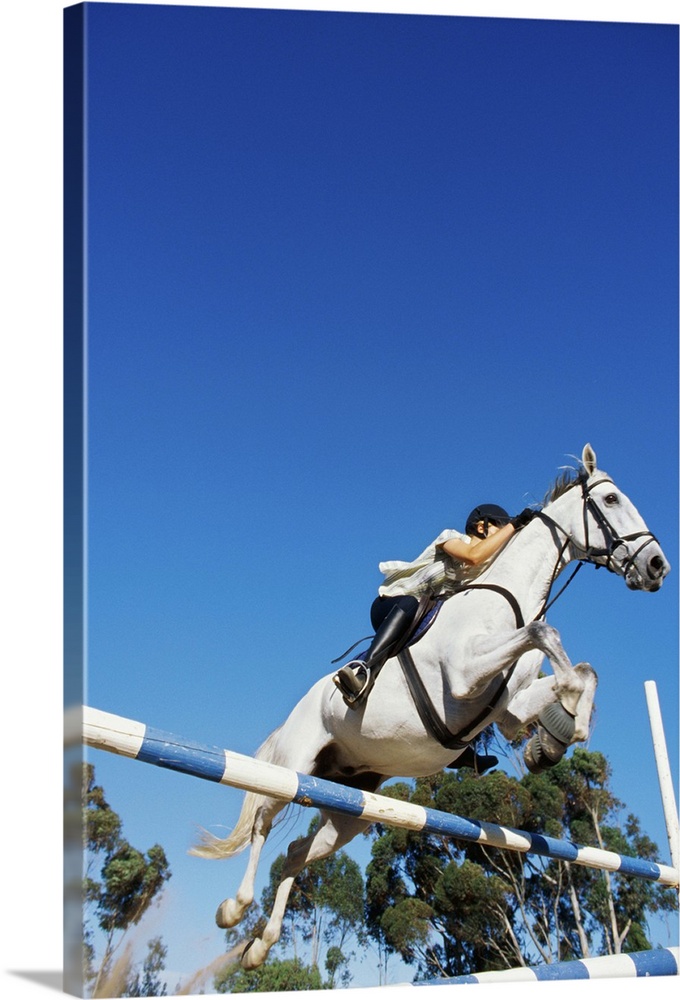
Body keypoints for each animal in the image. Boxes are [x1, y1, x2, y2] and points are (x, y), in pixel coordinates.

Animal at [191, 446, 668, 968]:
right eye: (610, 499)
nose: (658, 566)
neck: (511, 599)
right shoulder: (464, 676)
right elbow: (548, 636)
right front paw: (562, 719)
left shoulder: (508, 708)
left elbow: (584, 671)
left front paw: (556, 738)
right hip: (294, 768)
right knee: (262, 822)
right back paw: (233, 910)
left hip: (349, 805)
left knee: (298, 851)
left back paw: (260, 947)